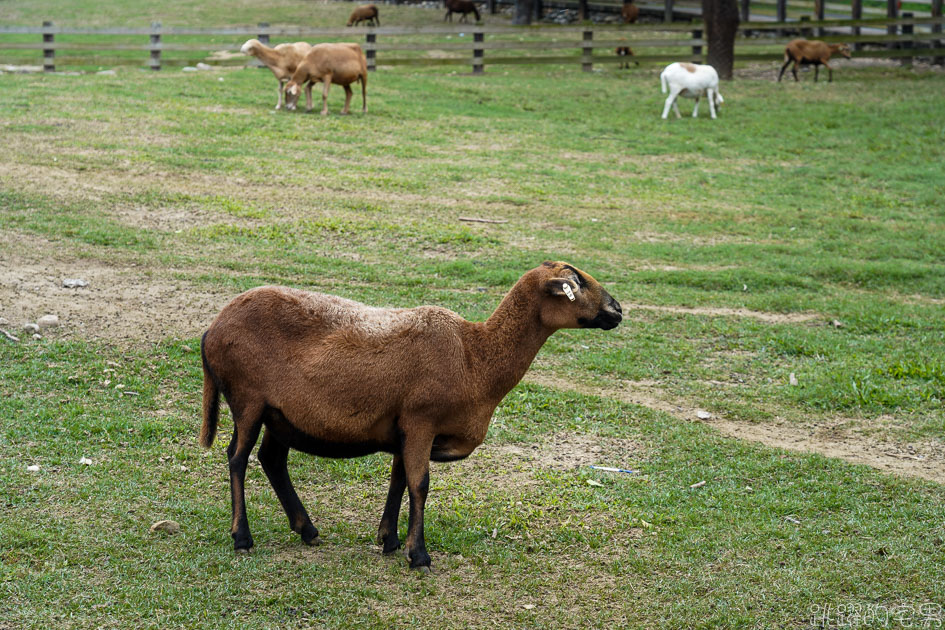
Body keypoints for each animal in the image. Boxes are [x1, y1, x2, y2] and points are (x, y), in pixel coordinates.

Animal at [201, 262, 620, 572]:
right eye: (577, 282)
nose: (617, 311)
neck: (474, 357)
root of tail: (212, 328)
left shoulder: (404, 428)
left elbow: (398, 480)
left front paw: (388, 539)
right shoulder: (421, 422)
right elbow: (419, 484)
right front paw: (418, 555)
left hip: (281, 415)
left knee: (271, 460)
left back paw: (307, 530)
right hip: (248, 400)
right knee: (237, 458)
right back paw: (243, 537)